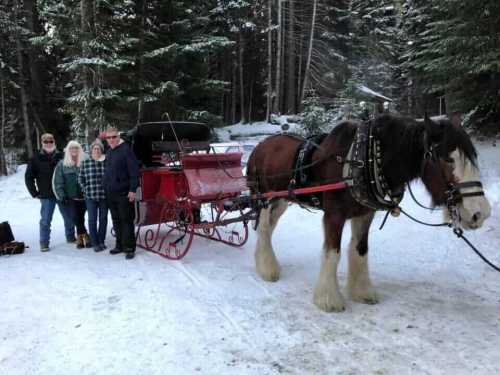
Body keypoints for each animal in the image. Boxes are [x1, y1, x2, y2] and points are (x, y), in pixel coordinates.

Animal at [248, 113, 490, 312]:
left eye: (473, 158)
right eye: (448, 159)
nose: (480, 212)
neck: (363, 159)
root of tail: (261, 145)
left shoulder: (365, 213)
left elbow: (361, 249)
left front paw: (362, 291)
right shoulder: (334, 215)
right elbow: (332, 252)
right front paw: (328, 299)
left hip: (281, 199)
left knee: (268, 228)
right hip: (264, 197)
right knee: (264, 228)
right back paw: (267, 267)